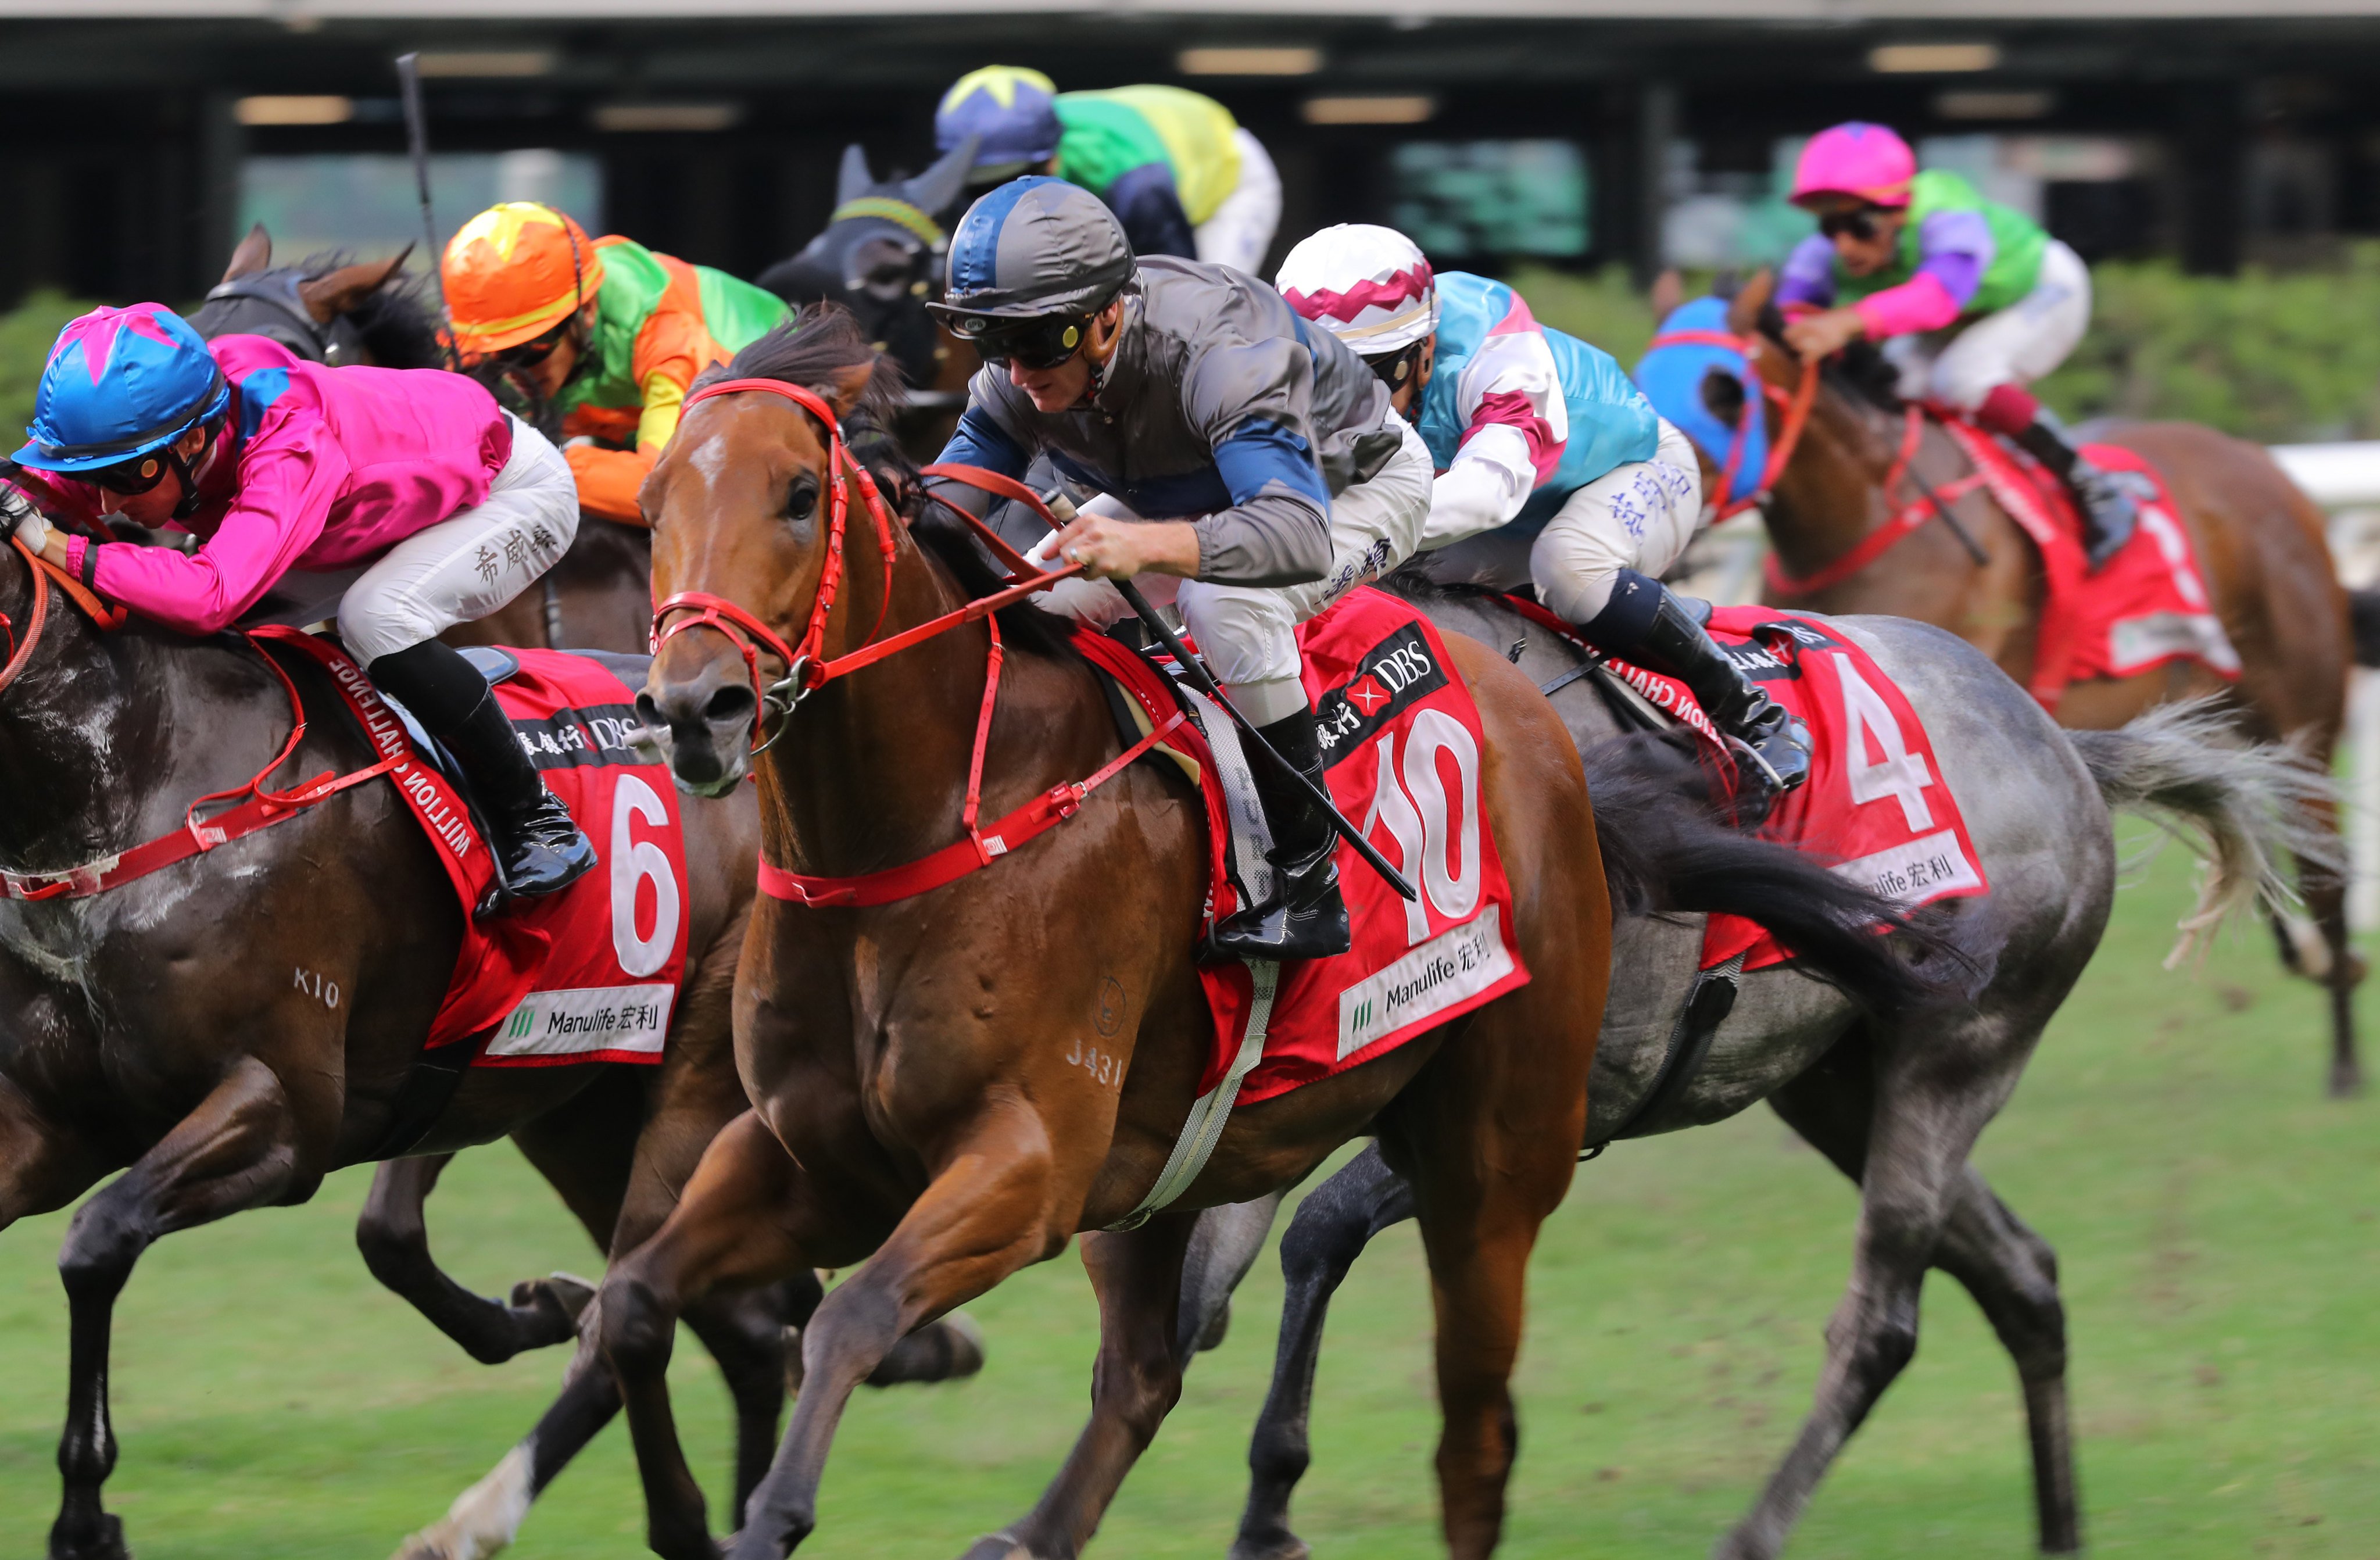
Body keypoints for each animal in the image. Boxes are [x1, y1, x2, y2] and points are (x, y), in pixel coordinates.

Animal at [1171, 588, 2322, 1560]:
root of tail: (2059, 742)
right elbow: (1210, 1276)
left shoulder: (1552, 1113)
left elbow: (1315, 1232)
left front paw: (1268, 1500)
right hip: (1837, 1087)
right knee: (2022, 1276)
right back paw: (2060, 1531)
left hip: (1960, 1050)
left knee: (1883, 1320)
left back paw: (1753, 1531)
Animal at [1675, 269, 2361, 1100]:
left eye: (1722, 391)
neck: (1871, 512)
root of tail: (2267, 467)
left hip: (2301, 720)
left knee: (2326, 872)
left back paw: (2343, 1056)